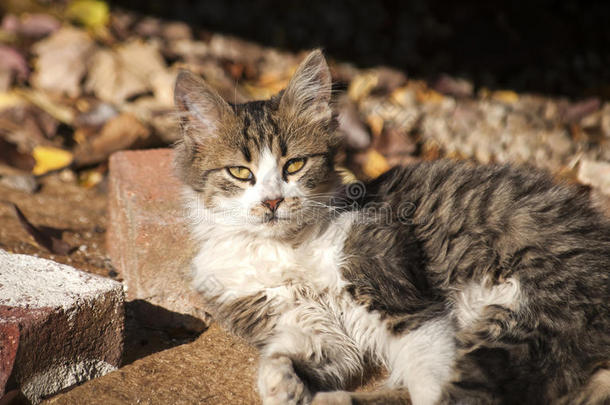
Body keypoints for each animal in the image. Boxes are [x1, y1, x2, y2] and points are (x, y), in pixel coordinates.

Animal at [171, 51, 608, 404]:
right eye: (240, 172)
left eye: (293, 165)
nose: (272, 202)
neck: (286, 249)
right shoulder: (309, 327)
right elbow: (284, 354)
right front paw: (281, 385)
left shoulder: (403, 302)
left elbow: (428, 379)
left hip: (520, 320)